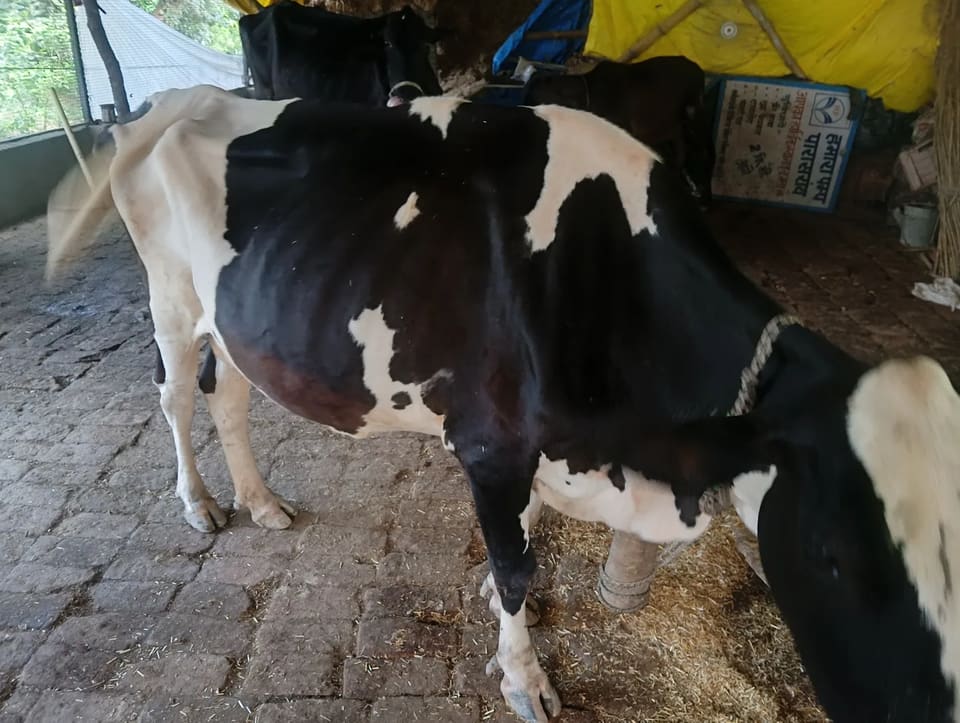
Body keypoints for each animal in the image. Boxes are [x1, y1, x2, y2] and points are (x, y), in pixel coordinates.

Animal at [46, 85, 960, 723]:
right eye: (831, 553)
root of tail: (175, 99)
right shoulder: (491, 443)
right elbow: (520, 565)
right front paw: (525, 676)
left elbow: (519, 539)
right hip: (171, 299)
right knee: (175, 396)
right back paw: (201, 503)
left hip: (237, 320)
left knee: (229, 395)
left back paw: (262, 501)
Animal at [524, 56, 715, 205]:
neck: (588, 93)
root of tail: (697, 69)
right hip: (672, 127)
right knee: (680, 149)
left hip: (694, 115)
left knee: (705, 152)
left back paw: (705, 198)